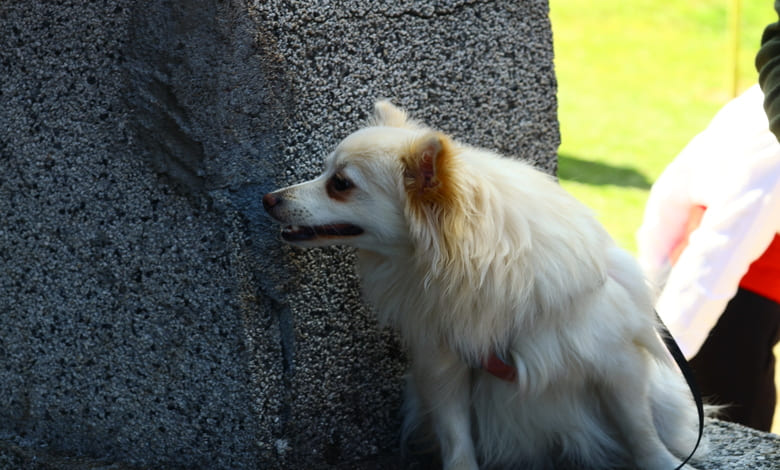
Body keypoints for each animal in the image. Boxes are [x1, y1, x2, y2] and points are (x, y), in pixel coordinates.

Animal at [266, 103, 704, 470]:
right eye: (326, 173)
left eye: (340, 183)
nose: (269, 198)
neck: (474, 263)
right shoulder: (442, 363)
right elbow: (455, 432)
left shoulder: (614, 358)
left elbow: (639, 427)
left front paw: (663, 464)